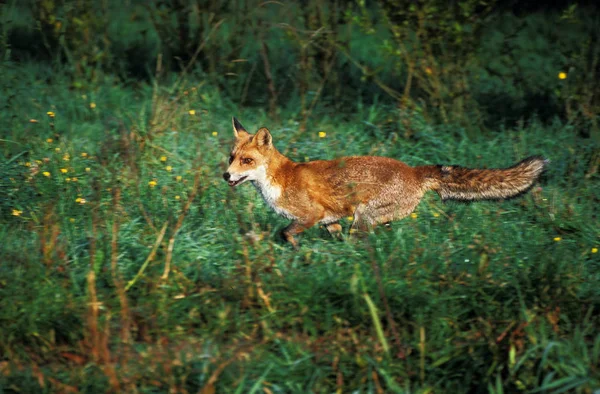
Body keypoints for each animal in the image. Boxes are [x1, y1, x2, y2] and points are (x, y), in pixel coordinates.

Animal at [224, 117, 548, 248]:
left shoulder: (311, 215)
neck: (279, 179)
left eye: (247, 161)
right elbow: (333, 239)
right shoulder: (332, 220)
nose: (226, 175)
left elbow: (286, 233)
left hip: (363, 217)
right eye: (231, 157)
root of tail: (414, 170)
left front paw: (296, 251)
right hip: (366, 220)